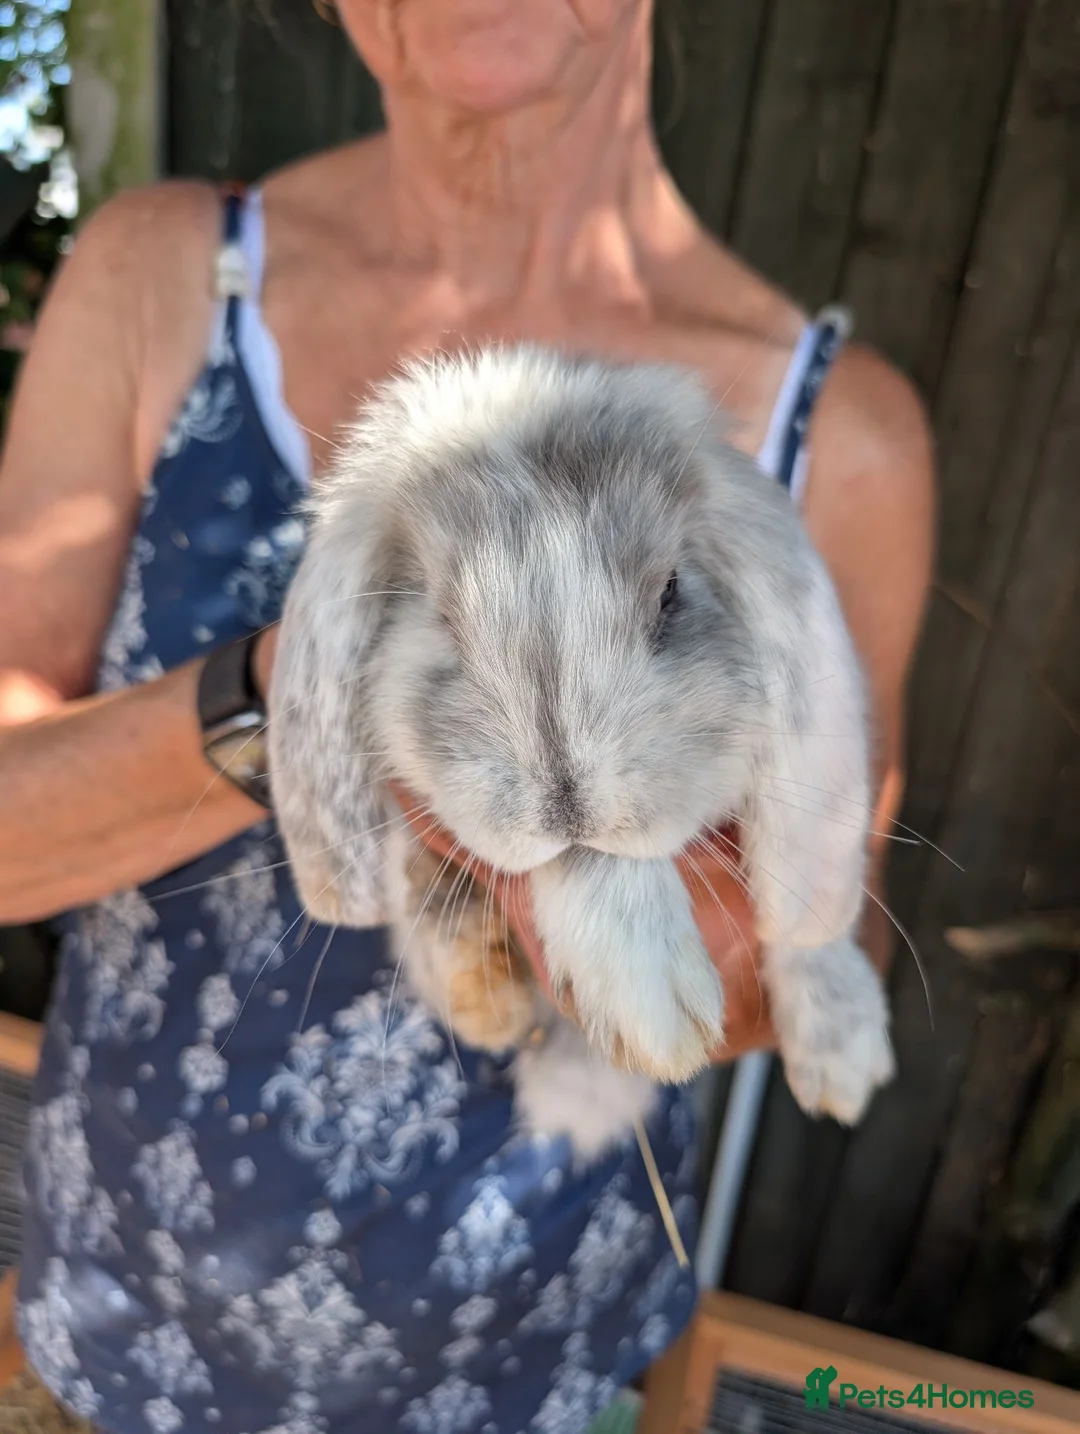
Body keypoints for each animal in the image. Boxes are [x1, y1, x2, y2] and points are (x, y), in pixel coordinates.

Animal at [267, 343, 895, 1162]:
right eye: (440, 614)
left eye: (670, 593)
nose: (565, 806)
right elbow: (583, 866)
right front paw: (648, 1006)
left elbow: (802, 917)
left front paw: (845, 1061)